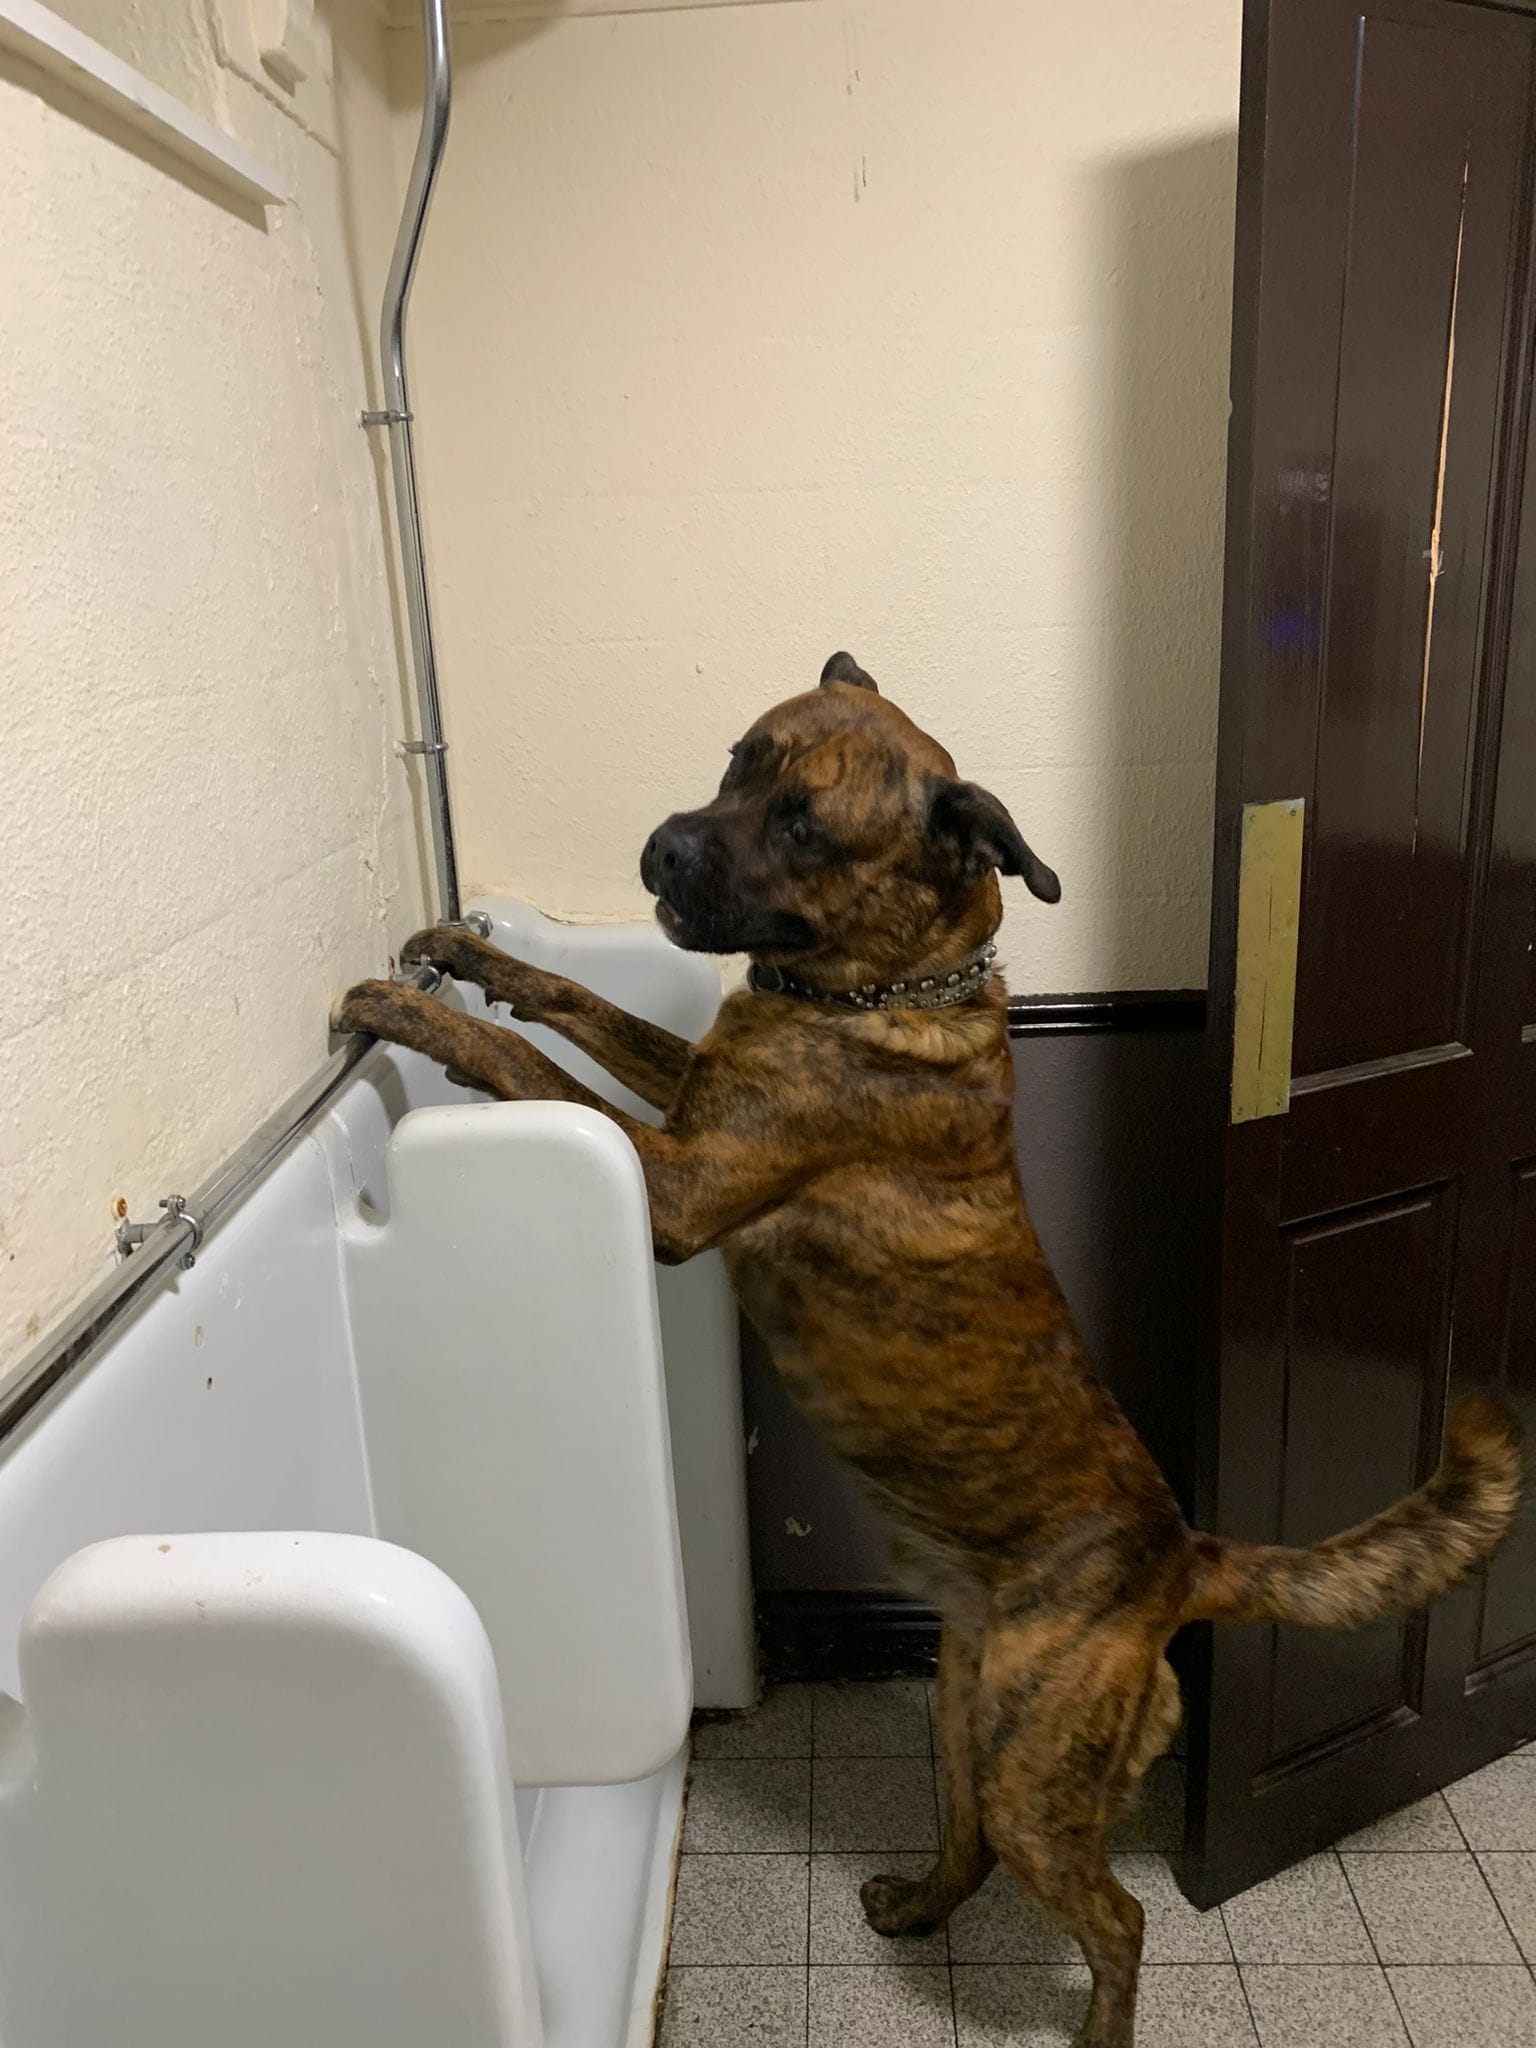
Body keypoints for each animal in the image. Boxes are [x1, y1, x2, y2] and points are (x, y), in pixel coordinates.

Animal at [331, 651, 1523, 2048]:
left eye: (805, 826)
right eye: (736, 764)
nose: (660, 844)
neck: (880, 991)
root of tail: (1184, 1557)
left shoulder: (680, 1182)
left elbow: (529, 1062)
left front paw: (410, 1011)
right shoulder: (691, 1100)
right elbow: (584, 1004)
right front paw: (468, 952)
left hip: (1033, 1763)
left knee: (1117, 1914)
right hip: (967, 1715)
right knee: (974, 1846)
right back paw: (914, 1906)